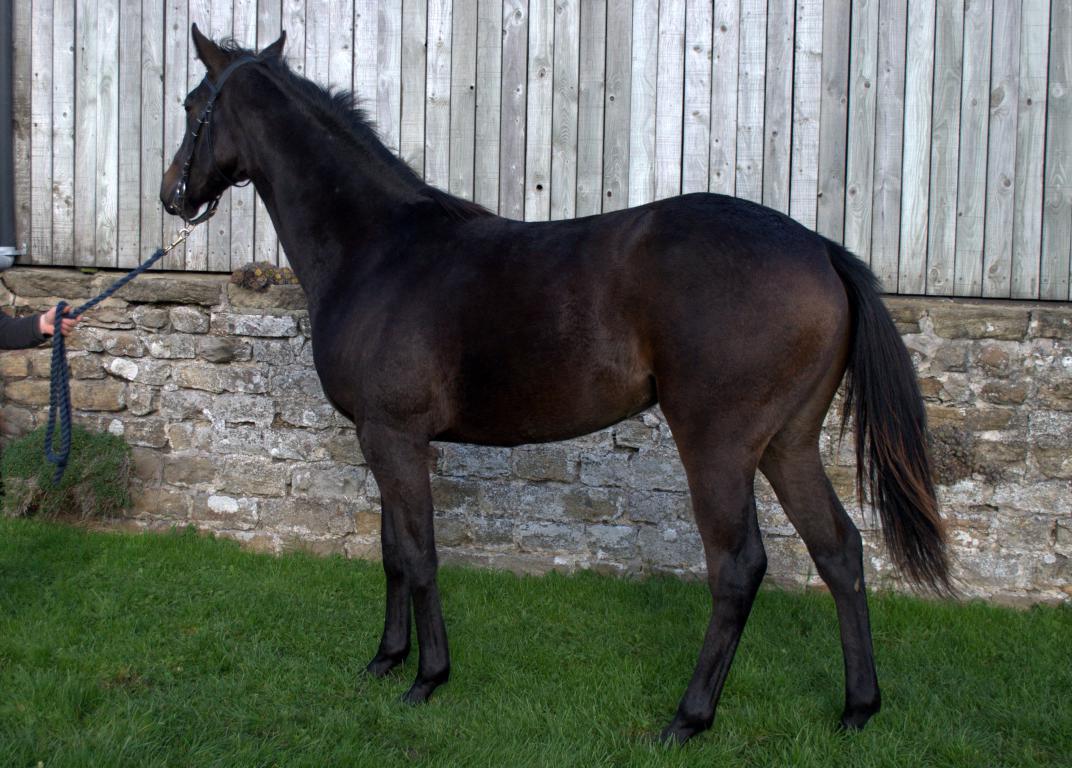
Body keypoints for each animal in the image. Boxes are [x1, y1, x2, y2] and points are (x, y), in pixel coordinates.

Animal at [161, 26, 949, 743]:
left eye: (194, 102)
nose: (173, 195)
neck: (379, 250)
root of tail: (821, 249)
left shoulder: (394, 436)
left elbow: (418, 554)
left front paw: (428, 678)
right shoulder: (382, 439)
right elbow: (391, 551)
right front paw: (385, 661)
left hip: (719, 446)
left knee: (737, 567)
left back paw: (687, 719)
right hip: (788, 444)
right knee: (839, 550)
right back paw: (857, 708)